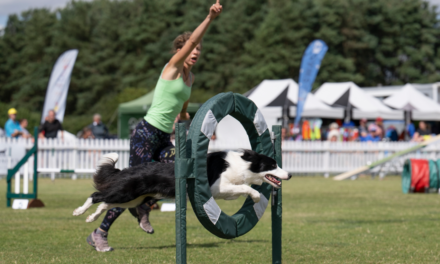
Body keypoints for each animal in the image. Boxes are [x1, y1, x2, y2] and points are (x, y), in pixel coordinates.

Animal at [74, 151, 290, 229]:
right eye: (273, 165)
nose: (289, 175)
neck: (243, 165)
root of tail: (126, 169)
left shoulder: (224, 191)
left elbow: (241, 188)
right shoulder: (218, 186)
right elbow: (245, 187)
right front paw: (255, 196)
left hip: (133, 199)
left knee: (105, 203)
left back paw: (90, 218)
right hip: (126, 192)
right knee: (96, 195)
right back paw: (78, 211)